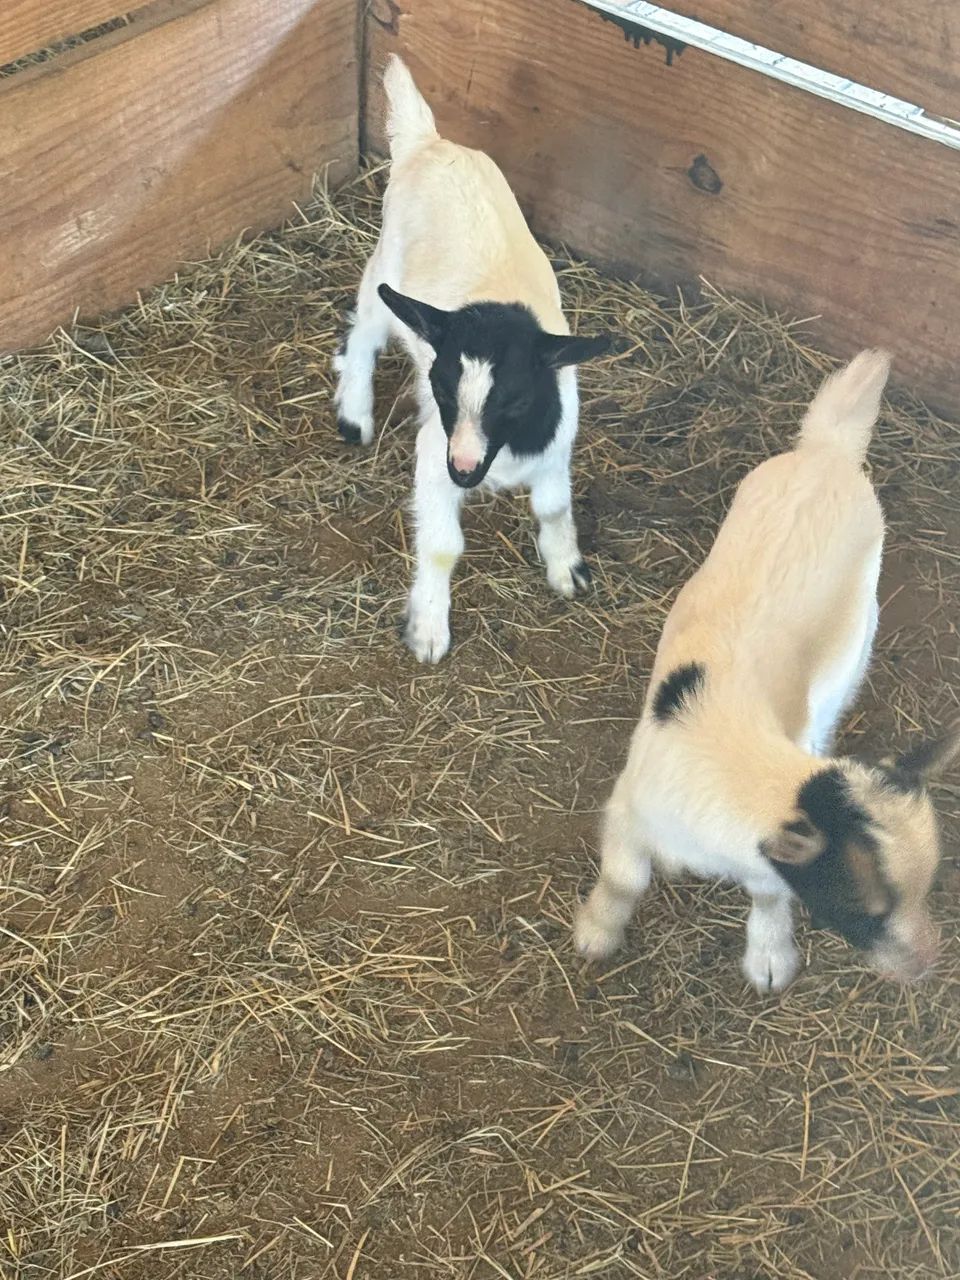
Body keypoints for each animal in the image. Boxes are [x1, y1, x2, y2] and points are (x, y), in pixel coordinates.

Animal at [333, 56, 618, 663]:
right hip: (386, 267)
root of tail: (430, 142)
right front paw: (428, 629)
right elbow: (443, 545)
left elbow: (553, 508)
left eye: (517, 398)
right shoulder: (433, 457)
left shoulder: (556, 446)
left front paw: (567, 569)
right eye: (441, 388)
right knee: (364, 329)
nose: (464, 468)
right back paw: (354, 412)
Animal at [575, 351, 957, 992]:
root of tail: (829, 450)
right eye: (865, 908)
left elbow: (770, 895)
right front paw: (596, 935)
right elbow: (625, 878)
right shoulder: (629, 809)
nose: (926, 964)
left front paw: (770, 958)